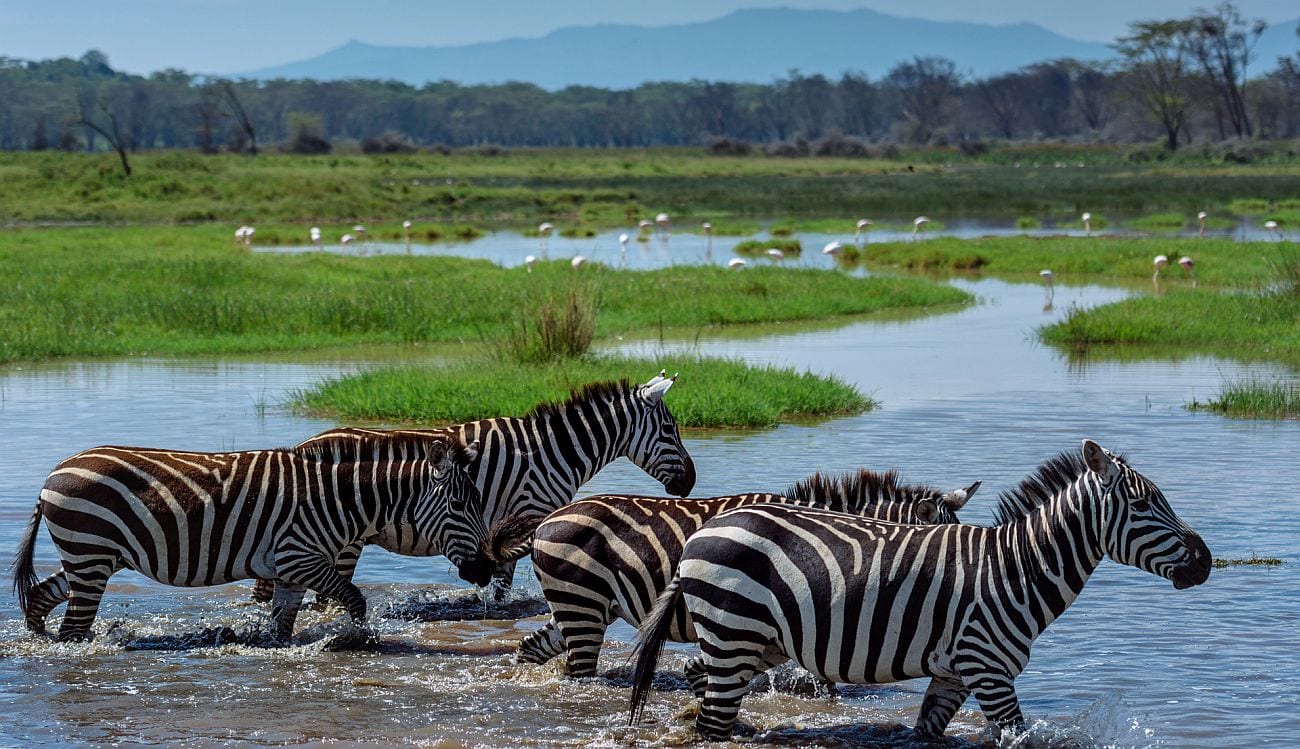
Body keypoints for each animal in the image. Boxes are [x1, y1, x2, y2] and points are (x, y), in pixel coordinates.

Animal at [11, 434, 521, 643]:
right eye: (460, 507)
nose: (484, 570)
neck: (340, 503)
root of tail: (54, 472)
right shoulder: (301, 558)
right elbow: (355, 599)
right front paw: (355, 641)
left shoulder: (290, 572)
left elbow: (282, 625)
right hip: (92, 553)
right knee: (73, 627)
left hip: (91, 556)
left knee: (43, 596)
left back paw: (38, 642)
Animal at [251, 372, 696, 602]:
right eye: (670, 429)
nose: (690, 482)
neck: (552, 451)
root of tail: (304, 445)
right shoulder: (526, 511)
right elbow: (505, 576)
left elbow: (503, 577)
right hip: (342, 541)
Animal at [630, 440, 1212, 741]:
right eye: (1144, 504)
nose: (1206, 562)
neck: (1016, 569)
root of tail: (705, 530)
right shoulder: (989, 670)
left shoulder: (954, 674)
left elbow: (927, 732)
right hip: (733, 633)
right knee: (711, 723)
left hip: (749, 641)